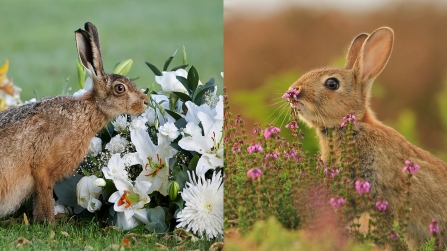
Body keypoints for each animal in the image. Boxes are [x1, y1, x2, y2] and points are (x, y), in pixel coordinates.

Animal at [0, 21, 149, 222]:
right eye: (120, 88)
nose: (145, 102)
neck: (87, 111)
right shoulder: (42, 169)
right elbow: (46, 198)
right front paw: (52, 222)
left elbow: (39, 201)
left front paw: (46, 220)